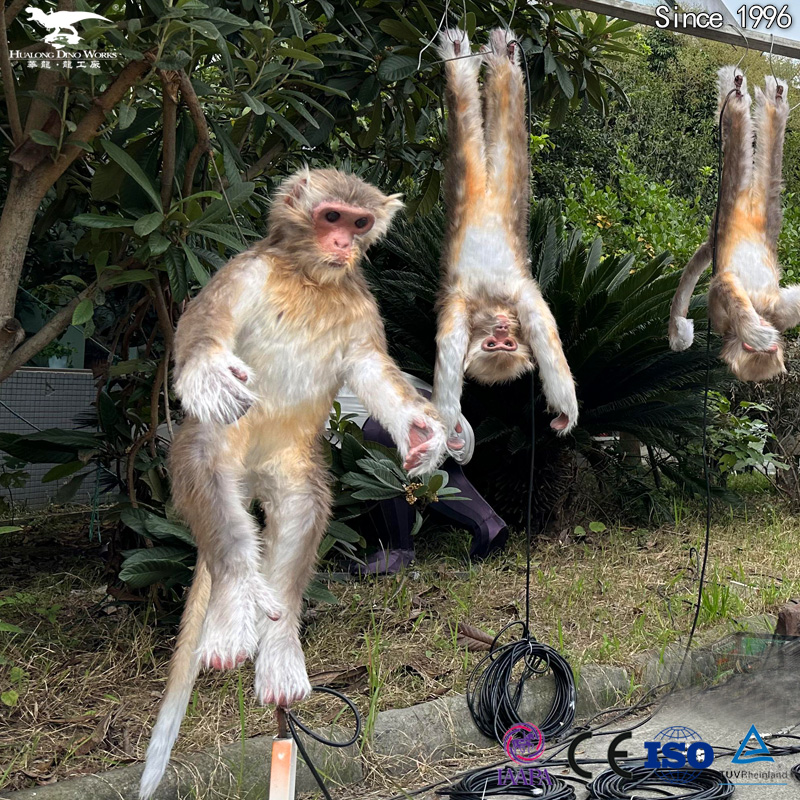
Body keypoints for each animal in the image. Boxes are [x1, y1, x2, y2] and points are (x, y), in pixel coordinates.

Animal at [139, 168, 448, 799]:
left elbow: (372, 370)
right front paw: (206, 370)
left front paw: (421, 429)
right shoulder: (247, 269)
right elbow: (200, 326)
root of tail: (252, 474)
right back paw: (236, 599)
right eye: (330, 217)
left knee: (305, 506)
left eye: (359, 222)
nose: (344, 244)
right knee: (206, 459)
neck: (312, 280)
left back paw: (278, 644)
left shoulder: (360, 305)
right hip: (225, 450)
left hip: (291, 461)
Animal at [431, 28, 578, 451]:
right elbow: (447, 376)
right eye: (493, 347)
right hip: (469, 182)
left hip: (510, 184)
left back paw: (501, 58)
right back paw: (465, 59)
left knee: (507, 106)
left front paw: (565, 413)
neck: (491, 301)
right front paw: (450, 431)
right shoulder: (457, 311)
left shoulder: (525, 298)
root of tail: (486, 192)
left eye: (508, 345)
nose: (499, 330)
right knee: (464, 116)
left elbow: (548, 345)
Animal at [669, 67, 800, 382]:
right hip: (729, 209)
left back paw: (774, 103)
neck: (761, 310)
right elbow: (725, 283)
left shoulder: (777, 314)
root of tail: (746, 210)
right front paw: (757, 334)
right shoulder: (727, 315)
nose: (769, 339)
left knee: (767, 164)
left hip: (764, 219)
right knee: (736, 136)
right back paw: (739, 99)